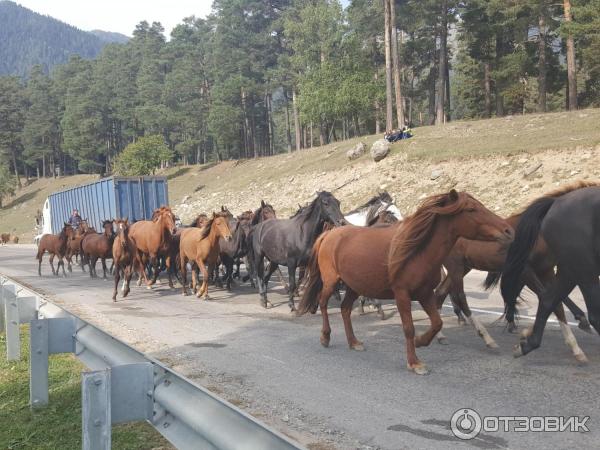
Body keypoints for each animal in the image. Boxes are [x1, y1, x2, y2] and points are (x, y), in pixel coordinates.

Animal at [298, 188, 512, 374]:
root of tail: (329, 234)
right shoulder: (402, 294)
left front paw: (421, 341)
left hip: (353, 286)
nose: (508, 230)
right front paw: (414, 362)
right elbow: (409, 328)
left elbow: (437, 323)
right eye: (471, 209)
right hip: (331, 281)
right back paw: (325, 336)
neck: (417, 251)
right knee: (323, 303)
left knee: (345, 309)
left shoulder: (425, 293)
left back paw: (354, 342)